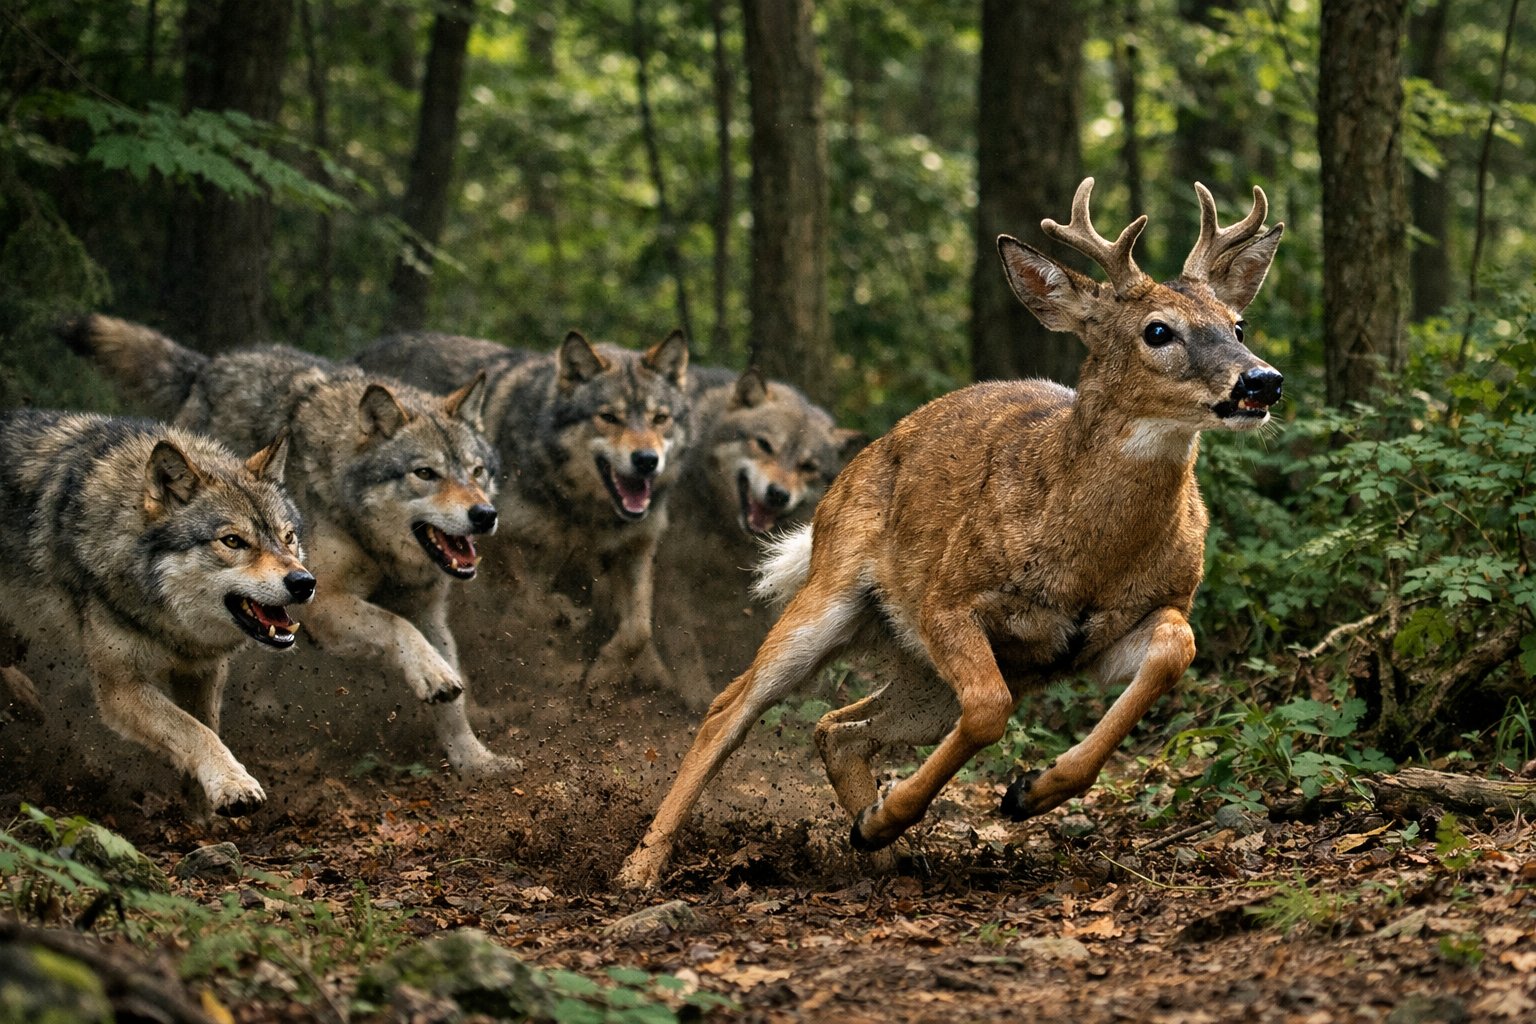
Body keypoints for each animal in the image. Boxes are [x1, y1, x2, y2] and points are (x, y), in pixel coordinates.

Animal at [0, 409, 312, 815]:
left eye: (288, 537)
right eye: (232, 541)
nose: (304, 582)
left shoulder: (204, 670)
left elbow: (206, 727)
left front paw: (199, 812)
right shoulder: (121, 688)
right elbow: (195, 731)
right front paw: (233, 785)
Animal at [67, 315, 516, 776]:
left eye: (477, 472)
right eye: (425, 473)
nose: (484, 515)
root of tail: (209, 366)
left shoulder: (428, 612)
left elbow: (452, 696)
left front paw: (476, 762)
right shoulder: (325, 602)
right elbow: (397, 627)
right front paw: (436, 679)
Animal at [356, 329, 691, 692]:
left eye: (660, 419)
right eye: (609, 417)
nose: (646, 460)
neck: (585, 512)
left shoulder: (636, 547)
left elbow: (638, 629)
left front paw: (603, 673)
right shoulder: (500, 545)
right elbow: (532, 607)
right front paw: (561, 639)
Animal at [654, 366, 865, 705]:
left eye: (808, 467)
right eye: (765, 445)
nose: (778, 495)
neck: (727, 528)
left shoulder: (764, 586)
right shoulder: (670, 570)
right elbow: (682, 640)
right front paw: (696, 693)